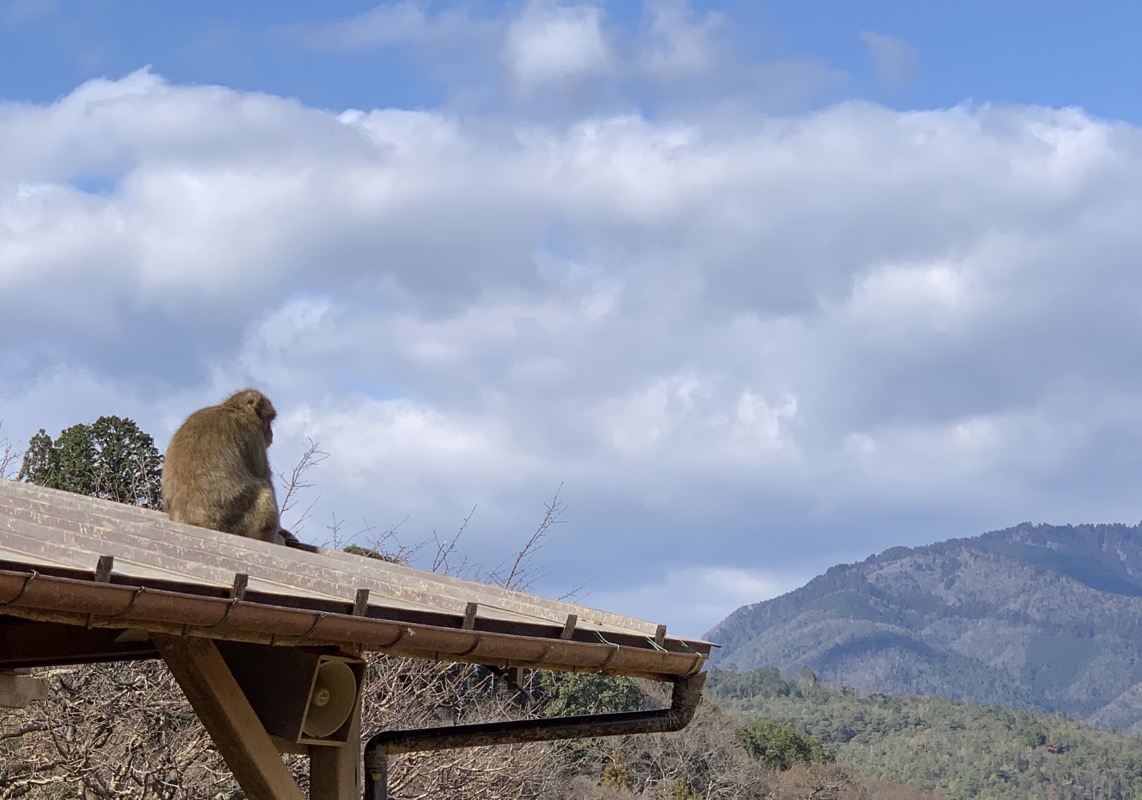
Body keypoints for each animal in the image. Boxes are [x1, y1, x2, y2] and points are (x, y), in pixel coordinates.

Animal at [162, 388, 301, 546]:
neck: (234, 409)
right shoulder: (253, 434)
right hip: (239, 523)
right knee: (264, 489)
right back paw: (273, 539)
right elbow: (264, 477)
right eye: (270, 419)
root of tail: (200, 524)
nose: (271, 434)